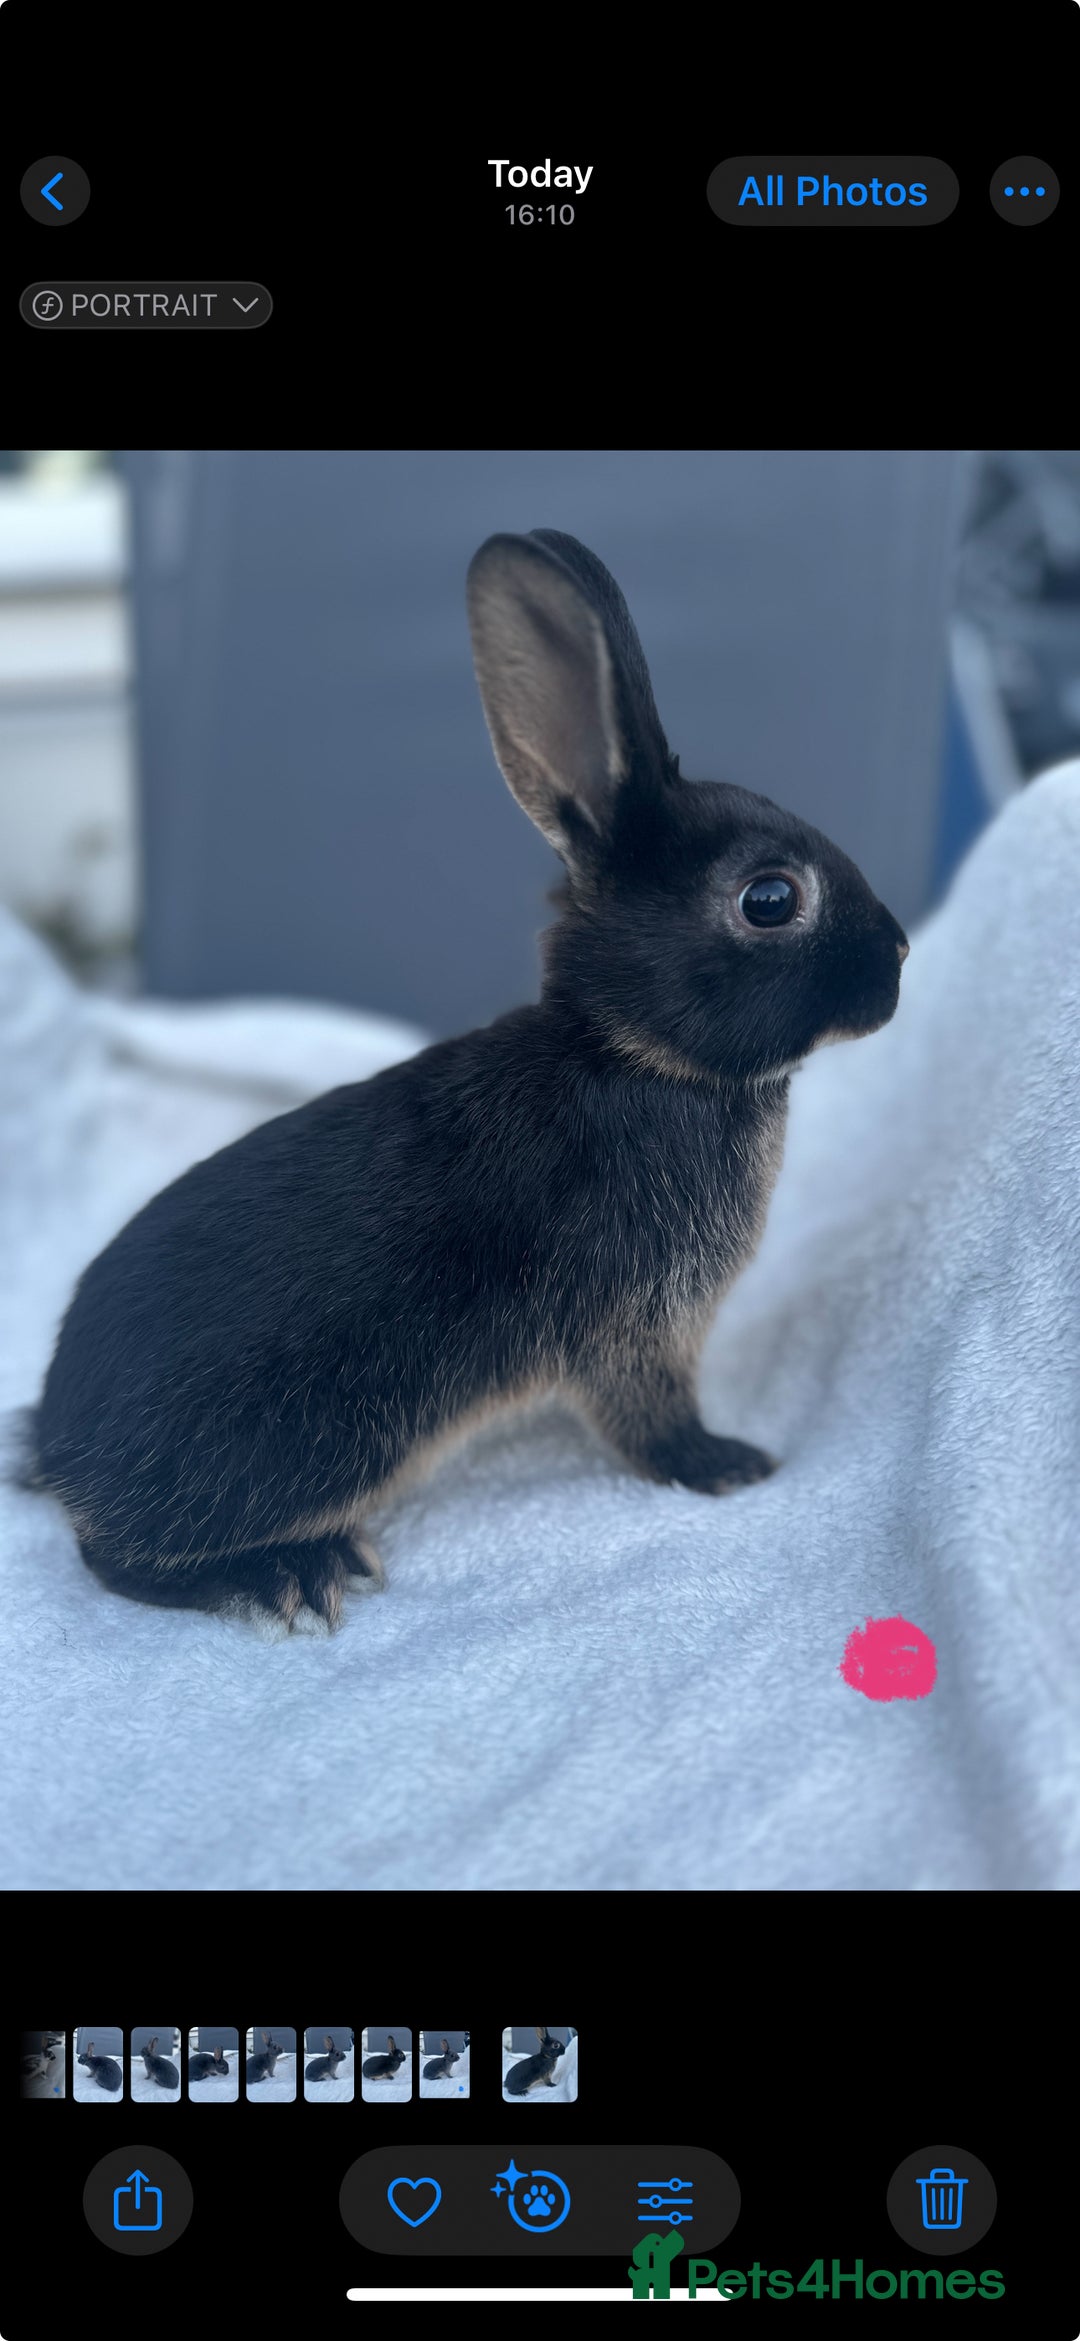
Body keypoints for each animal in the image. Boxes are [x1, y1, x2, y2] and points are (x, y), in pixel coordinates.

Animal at [26, 529, 908, 1636]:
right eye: (771, 898)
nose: (898, 957)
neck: (627, 1051)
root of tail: (58, 1444)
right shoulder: (635, 1318)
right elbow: (649, 1417)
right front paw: (727, 1464)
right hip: (318, 1442)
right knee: (113, 1557)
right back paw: (289, 1571)